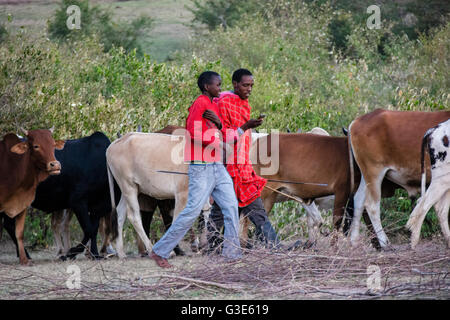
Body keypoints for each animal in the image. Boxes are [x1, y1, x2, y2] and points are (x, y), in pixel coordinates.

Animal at [0, 129, 65, 264]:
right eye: (36, 146)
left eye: (53, 145)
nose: (55, 165)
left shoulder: (23, 205)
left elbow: (19, 233)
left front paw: (24, 260)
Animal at [348, 109, 450, 249]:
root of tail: (357, 121)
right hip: (375, 172)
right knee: (372, 205)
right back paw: (385, 242)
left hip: (366, 175)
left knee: (358, 200)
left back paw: (354, 240)